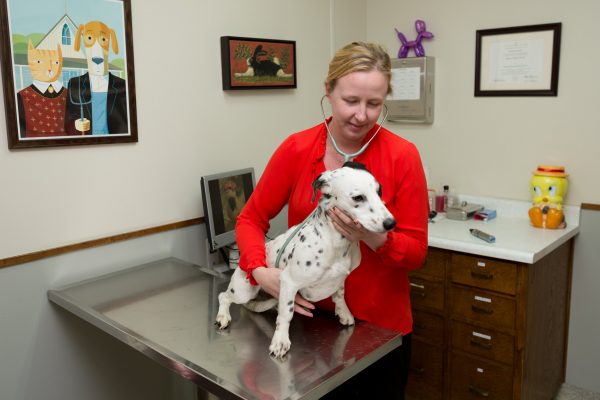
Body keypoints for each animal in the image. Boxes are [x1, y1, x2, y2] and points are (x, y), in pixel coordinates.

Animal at [217, 162, 398, 360]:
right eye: (358, 197)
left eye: (379, 191)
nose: (391, 223)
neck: (335, 242)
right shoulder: (289, 282)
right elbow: (286, 314)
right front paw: (280, 341)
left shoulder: (340, 279)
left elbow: (340, 296)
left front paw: (343, 313)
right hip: (244, 290)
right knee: (223, 296)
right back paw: (223, 316)